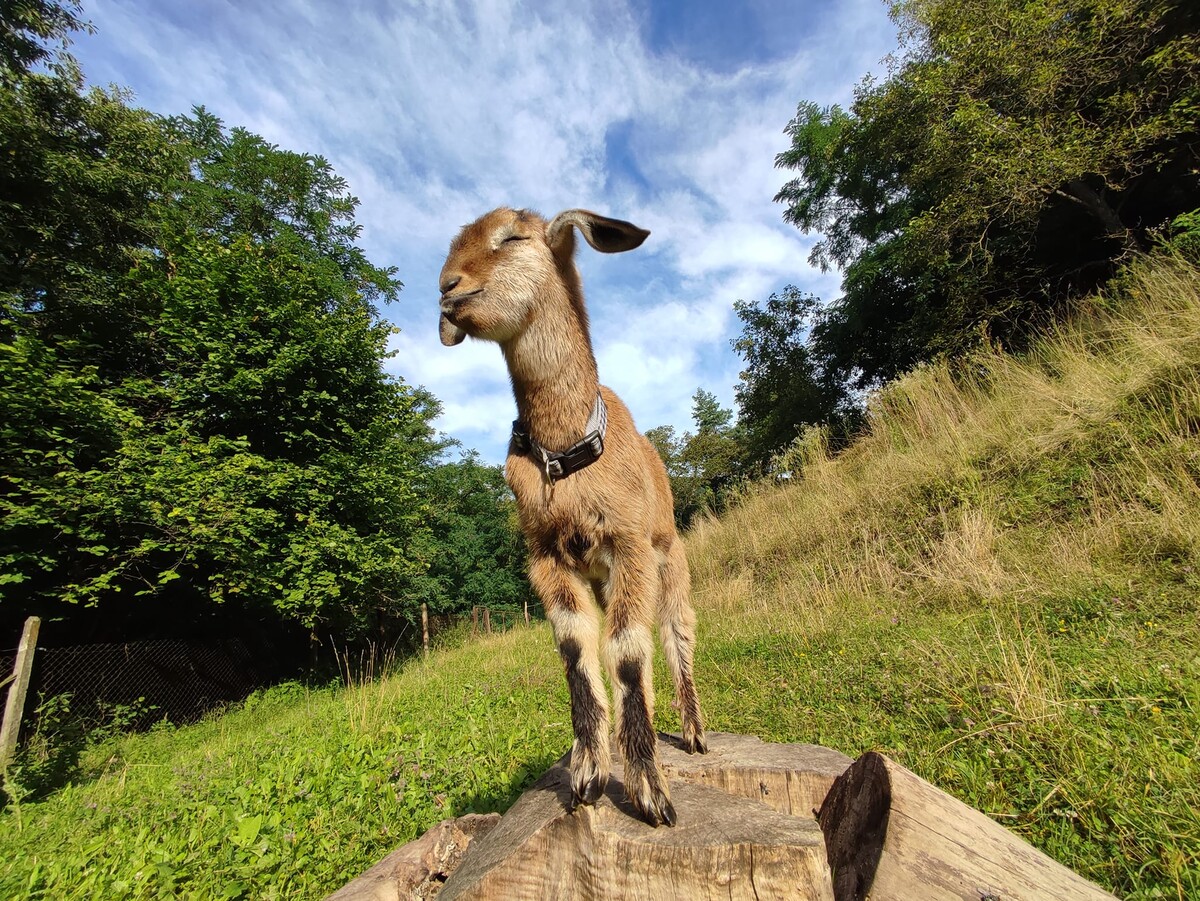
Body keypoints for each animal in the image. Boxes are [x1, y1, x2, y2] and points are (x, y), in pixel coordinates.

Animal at [439, 207, 700, 830]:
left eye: (513, 236)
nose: (448, 288)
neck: (567, 455)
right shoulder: (547, 559)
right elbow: (577, 650)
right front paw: (587, 773)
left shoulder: (628, 545)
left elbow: (627, 651)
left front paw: (651, 792)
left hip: (669, 557)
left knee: (676, 629)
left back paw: (694, 733)